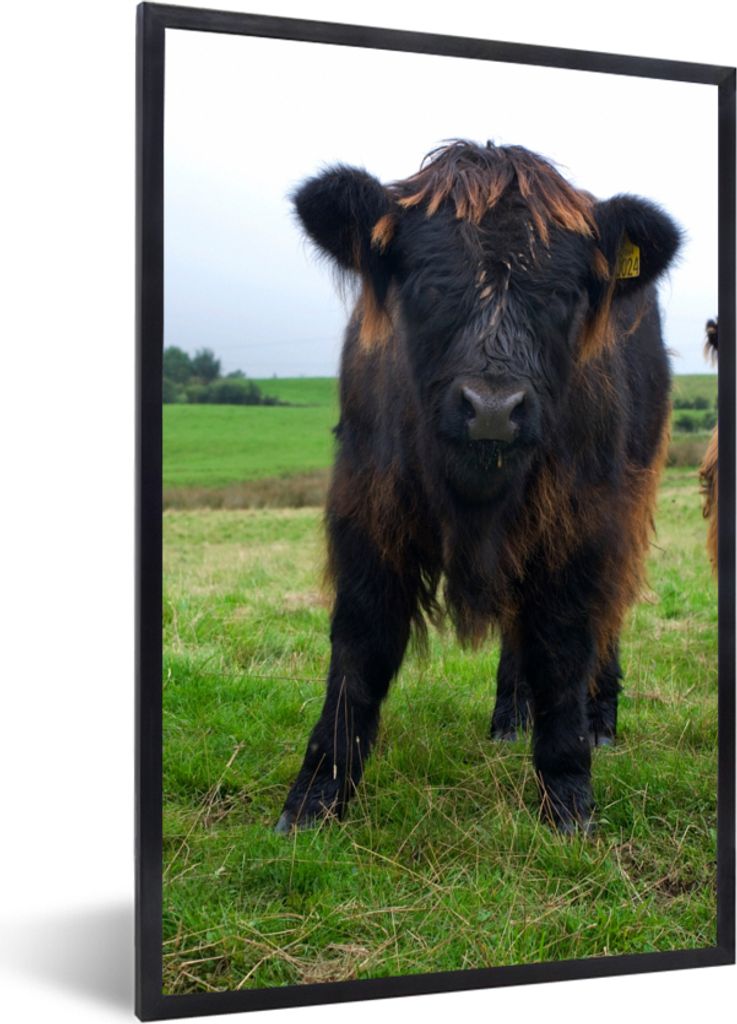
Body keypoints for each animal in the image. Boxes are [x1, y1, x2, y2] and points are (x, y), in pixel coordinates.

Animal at [275, 141, 681, 834]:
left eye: (562, 294)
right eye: (428, 283)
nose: (493, 409)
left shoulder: (582, 522)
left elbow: (565, 643)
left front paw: (568, 797)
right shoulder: (367, 508)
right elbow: (360, 644)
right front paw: (314, 798)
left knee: (607, 614)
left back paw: (600, 719)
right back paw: (509, 715)